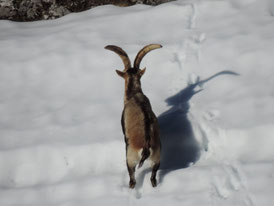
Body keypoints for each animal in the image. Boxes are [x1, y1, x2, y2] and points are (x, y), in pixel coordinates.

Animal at [104, 43, 161, 188]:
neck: (134, 95)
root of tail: (146, 148)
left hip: (130, 158)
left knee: (132, 180)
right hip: (157, 159)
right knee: (153, 178)